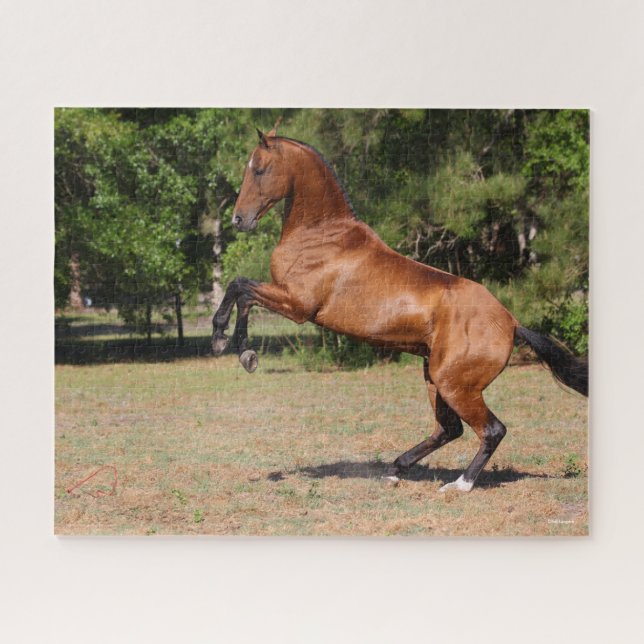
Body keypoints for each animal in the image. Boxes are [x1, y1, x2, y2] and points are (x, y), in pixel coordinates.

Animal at [211, 126, 588, 493]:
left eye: (260, 169)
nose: (239, 220)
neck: (321, 235)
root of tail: (511, 322)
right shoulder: (286, 299)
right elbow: (241, 292)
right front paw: (241, 350)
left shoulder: (296, 305)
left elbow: (239, 287)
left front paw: (227, 343)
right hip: (435, 379)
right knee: (449, 430)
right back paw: (394, 471)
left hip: (455, 384)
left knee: (491, 430)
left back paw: (459, 484)